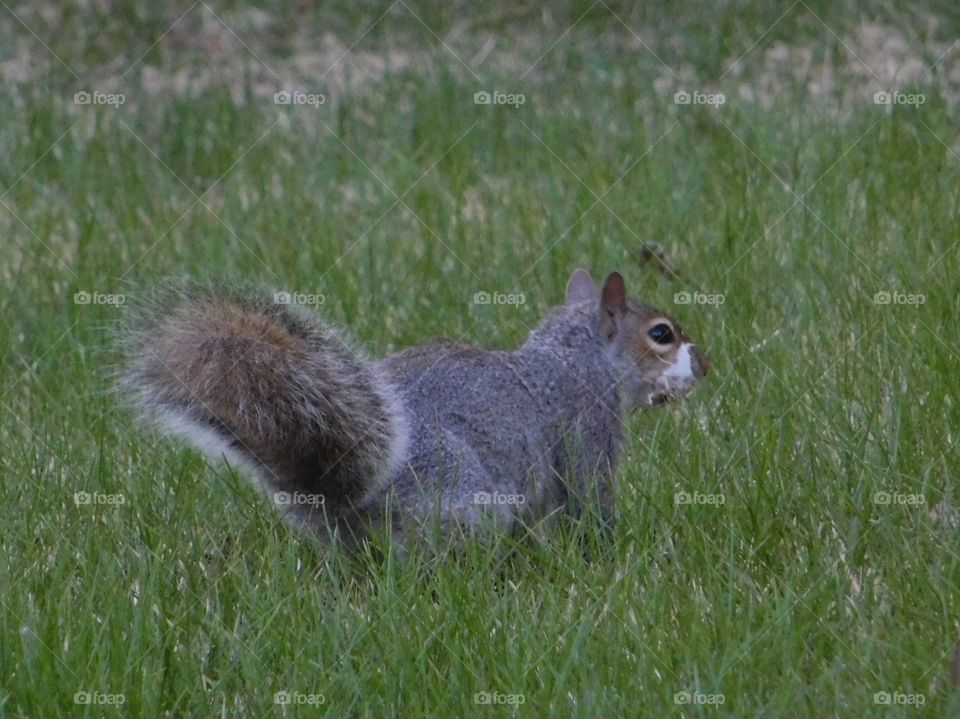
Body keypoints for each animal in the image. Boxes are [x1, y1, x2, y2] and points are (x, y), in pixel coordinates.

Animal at [120, 268, 708, 550]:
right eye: (661, 334)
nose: (703, 365)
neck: (573, 357)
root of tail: (351, 501)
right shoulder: (589, 426)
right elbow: (589, 500)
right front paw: (610, 551)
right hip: (467, 503)